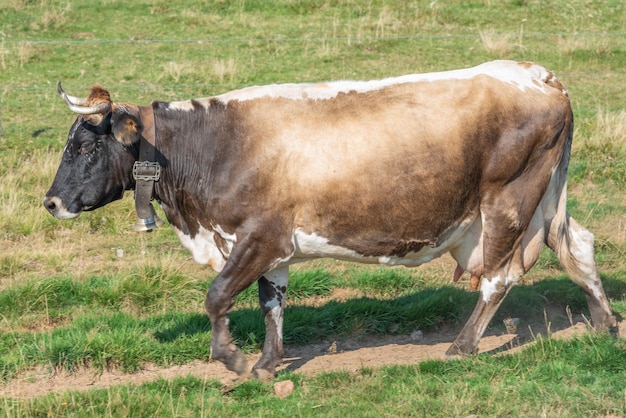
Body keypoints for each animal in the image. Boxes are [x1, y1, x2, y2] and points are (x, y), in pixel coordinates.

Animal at [44, 61, 616, 378]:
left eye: (84, 146)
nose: (50, 203)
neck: (214, 147)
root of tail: (539, 76)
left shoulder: (257, 236)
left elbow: (217, 295)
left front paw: (230, 358)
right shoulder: (272, 247)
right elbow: (271, 303)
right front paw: (268, 364)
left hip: (507, 202)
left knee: (498, 278)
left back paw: (461, 346)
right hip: (545, 202)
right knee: (579, 247)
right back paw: (605, 323)